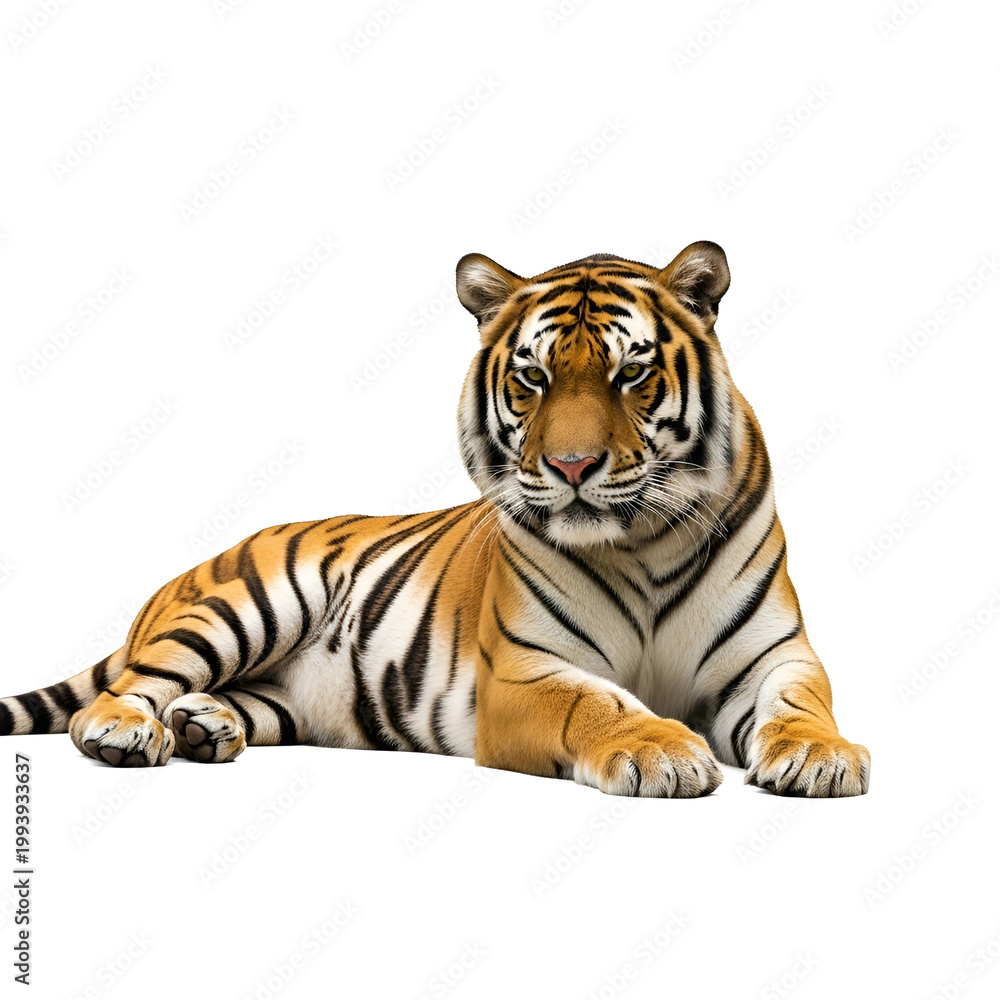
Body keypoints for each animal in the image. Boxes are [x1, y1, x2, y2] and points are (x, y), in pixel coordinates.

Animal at [0, 241, 870, 797]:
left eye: (631, 374)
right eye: (533, 378)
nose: (573, 467)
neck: (642, 544)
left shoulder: (774, 657)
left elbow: (802, 705)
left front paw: (822, 756)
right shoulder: (524, 671)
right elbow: (598, 702)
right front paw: (660, 750)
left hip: (285, 695)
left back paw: (202, 728)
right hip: (243, 605)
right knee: (124, 692)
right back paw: (127, 732)